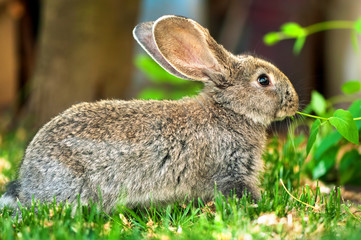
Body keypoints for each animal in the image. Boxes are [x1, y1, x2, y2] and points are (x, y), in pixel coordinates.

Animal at [0, 15, 298, 214]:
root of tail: (27, 180)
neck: (229, 110)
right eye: (263, 80)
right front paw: (261, 207)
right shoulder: (230, 169)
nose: (293, 102)